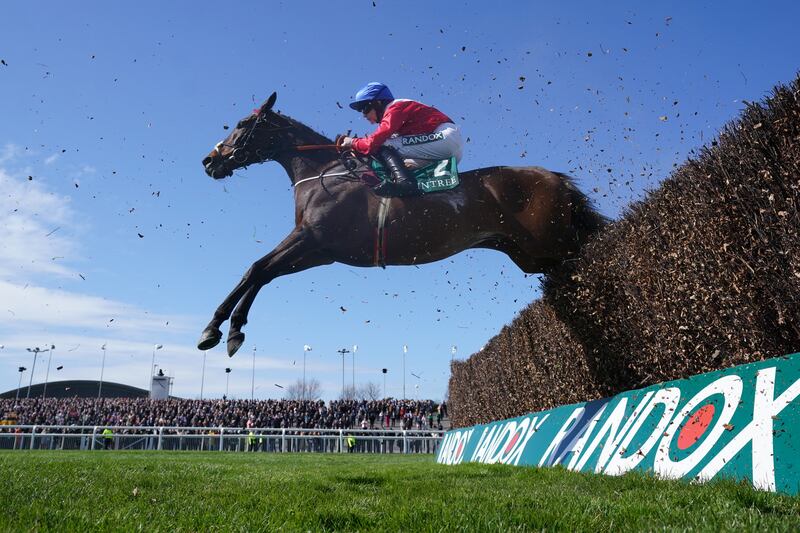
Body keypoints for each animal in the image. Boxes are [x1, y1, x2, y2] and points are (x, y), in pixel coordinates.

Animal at [198, 93, 608, 356]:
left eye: (243, 123)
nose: (209, 160)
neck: (323, 172)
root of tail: (554, 177)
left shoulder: (312, 238)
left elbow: (258, 269)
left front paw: (217, 328)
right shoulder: (320, 251)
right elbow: (261, 271)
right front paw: (228, 330)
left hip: (553, 243)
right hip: (533, 256)